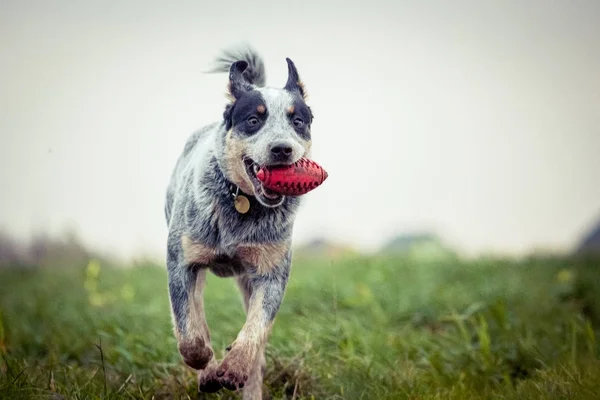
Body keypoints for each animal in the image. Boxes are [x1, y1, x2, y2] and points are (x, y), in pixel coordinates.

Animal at [162, 44, 316, 400]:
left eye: (297, 120)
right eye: (253, 119)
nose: (282, 149)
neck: (242, 203)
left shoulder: (271, 272)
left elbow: (256, 327)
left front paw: (234, 368)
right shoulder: (181, 261)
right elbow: (189, 330)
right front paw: (205, 361)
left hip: (248, 278)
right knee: (197, 312)